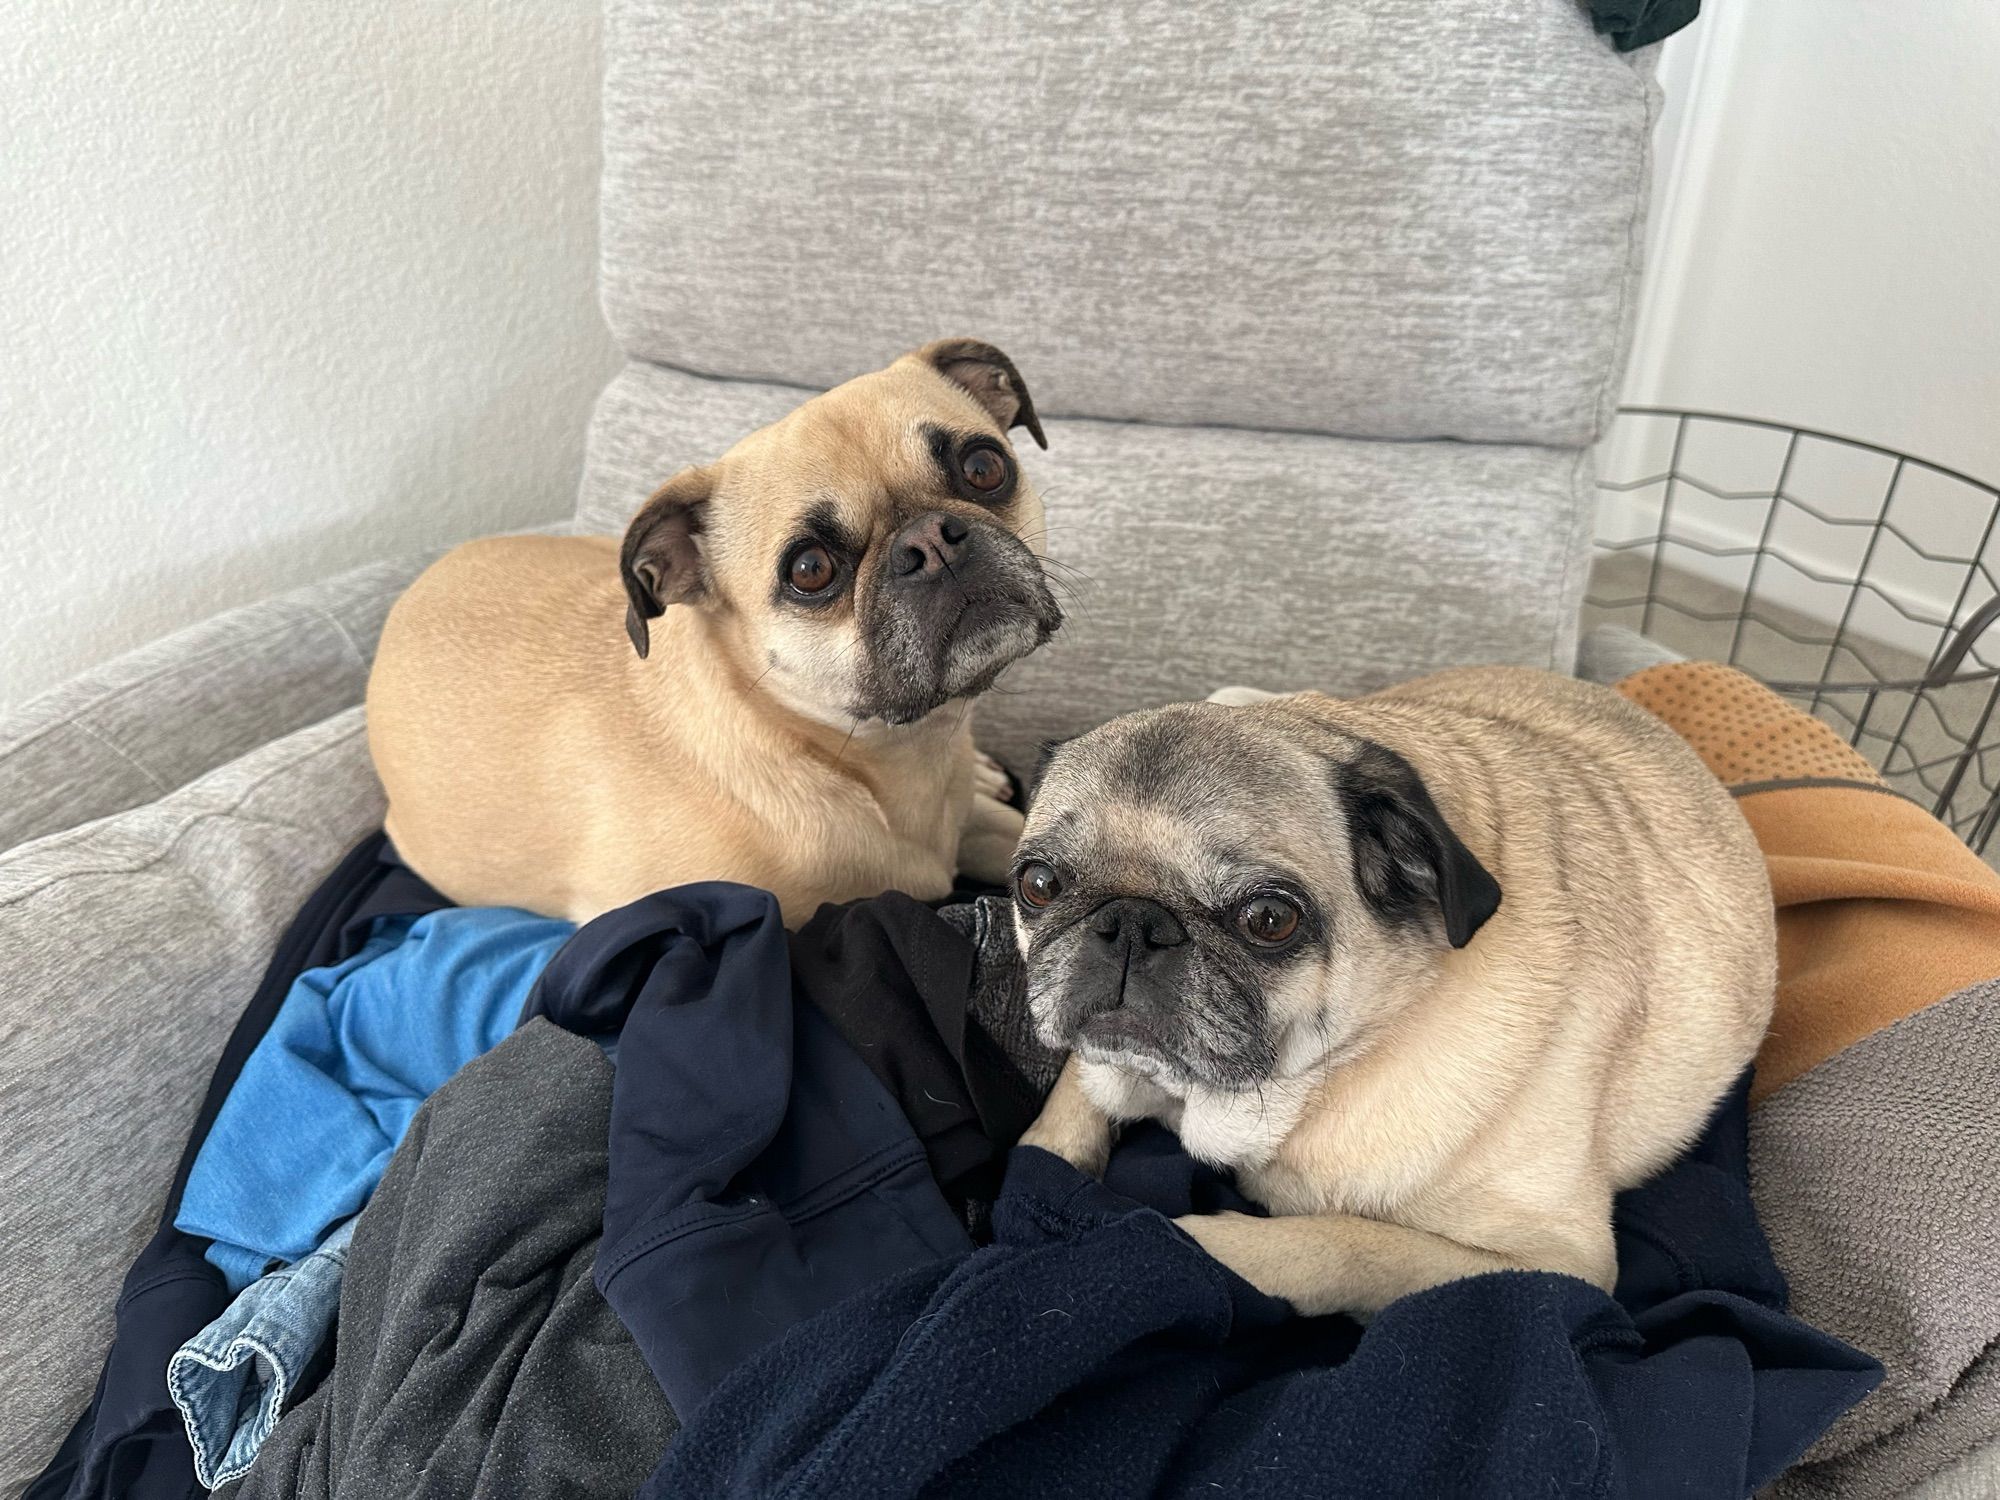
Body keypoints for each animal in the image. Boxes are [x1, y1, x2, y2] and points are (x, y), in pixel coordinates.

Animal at [1008, 668, 1776, 1312]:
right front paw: (1045, 1167)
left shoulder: (1556, 1263)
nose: (1131, 923)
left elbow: (1321, 1244)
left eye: (1269, 920)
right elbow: (1061, 1116)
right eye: (1038, 884)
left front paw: (1121, 1238)